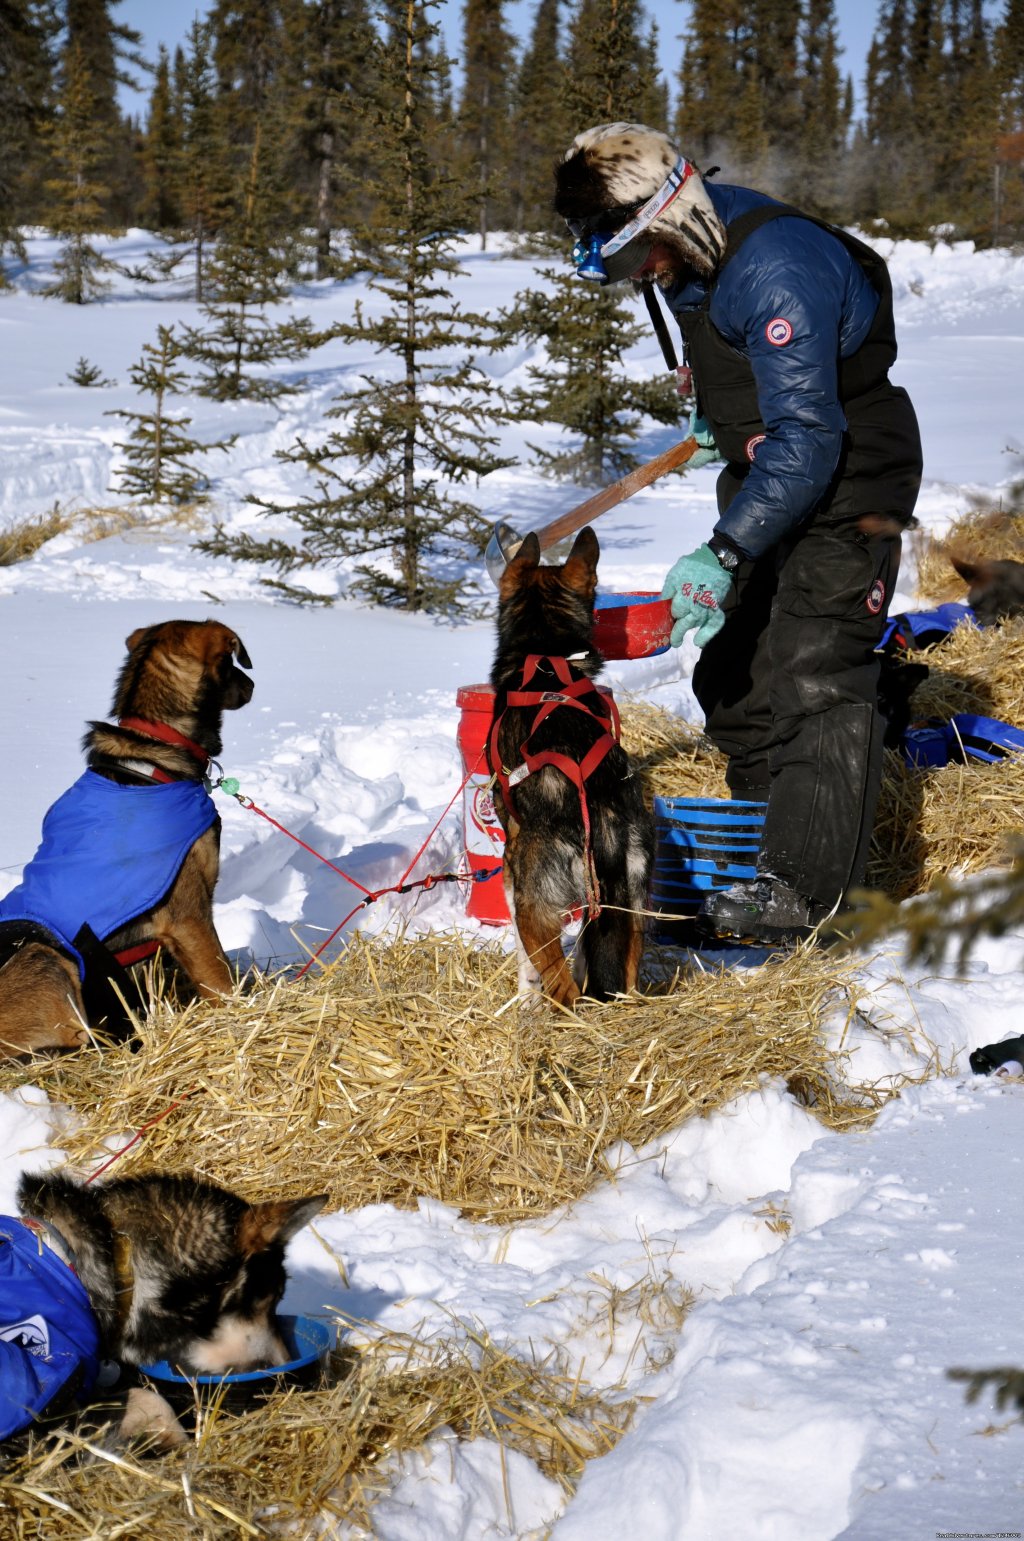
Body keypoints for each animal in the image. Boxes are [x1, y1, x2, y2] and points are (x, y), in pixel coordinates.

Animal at [0, 616, 250, 1060]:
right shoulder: (188, 917)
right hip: (48, 953)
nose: (252, 687)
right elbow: (220, 981)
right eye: (234, 662)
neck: (153, 755)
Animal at [489, 530, 655, 1010]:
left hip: (538, 903)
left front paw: (525, 998)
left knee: (561, 986)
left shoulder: (512, 865)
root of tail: (603, 817)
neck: (546, 658)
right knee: (626, 972)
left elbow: (526, 961)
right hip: (633, 902)